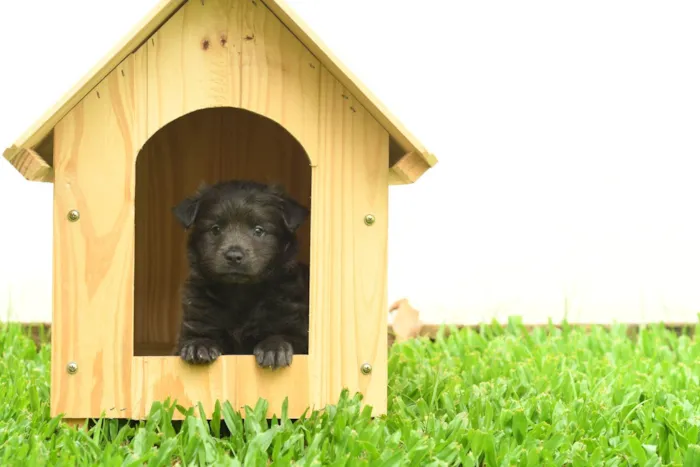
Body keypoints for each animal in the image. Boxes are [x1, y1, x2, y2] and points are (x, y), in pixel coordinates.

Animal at [170, 181, 308, 372]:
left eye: (259, 230)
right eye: (215, 229)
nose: (234, 256)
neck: (240, 293)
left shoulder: (294, 325)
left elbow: (284, 335)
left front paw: (274, 348)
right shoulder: (195, 320)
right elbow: (197, 334)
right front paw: (199, 344)